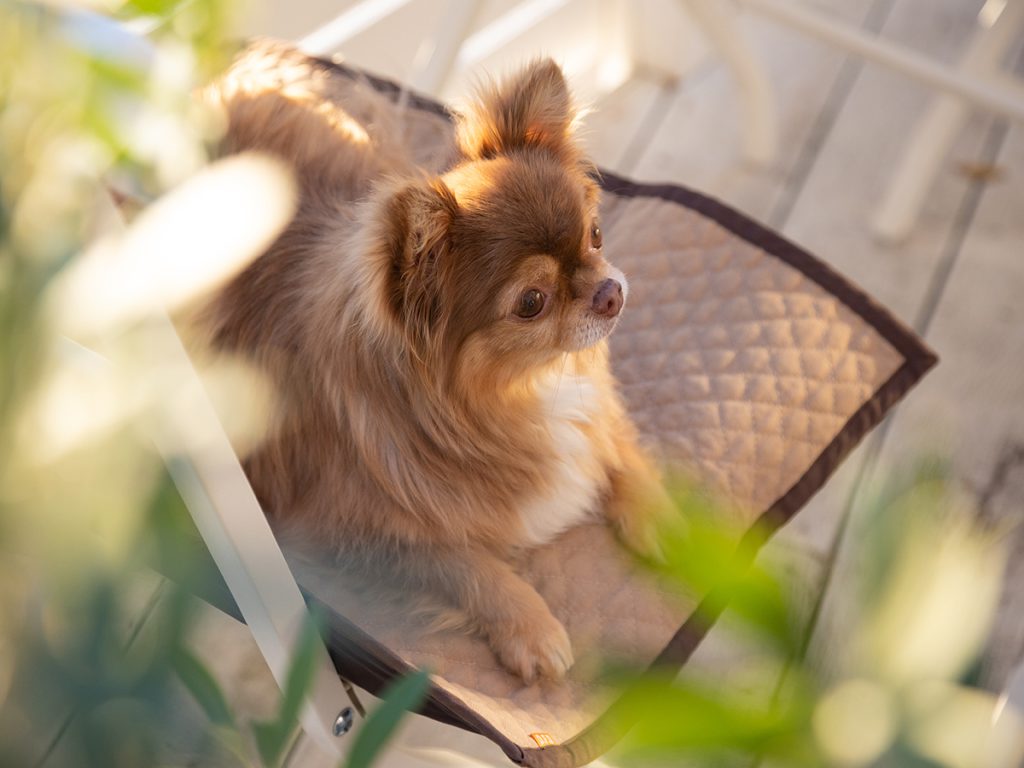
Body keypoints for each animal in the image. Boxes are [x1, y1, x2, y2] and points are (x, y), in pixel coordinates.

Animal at [205, 43, 671, 679]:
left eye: (595, 235)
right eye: (531, 302)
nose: (611, 293)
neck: (521, 389)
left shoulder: (595, 407)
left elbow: (621, 450)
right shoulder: (344, 532)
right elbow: (465, 564)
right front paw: (530, 626)